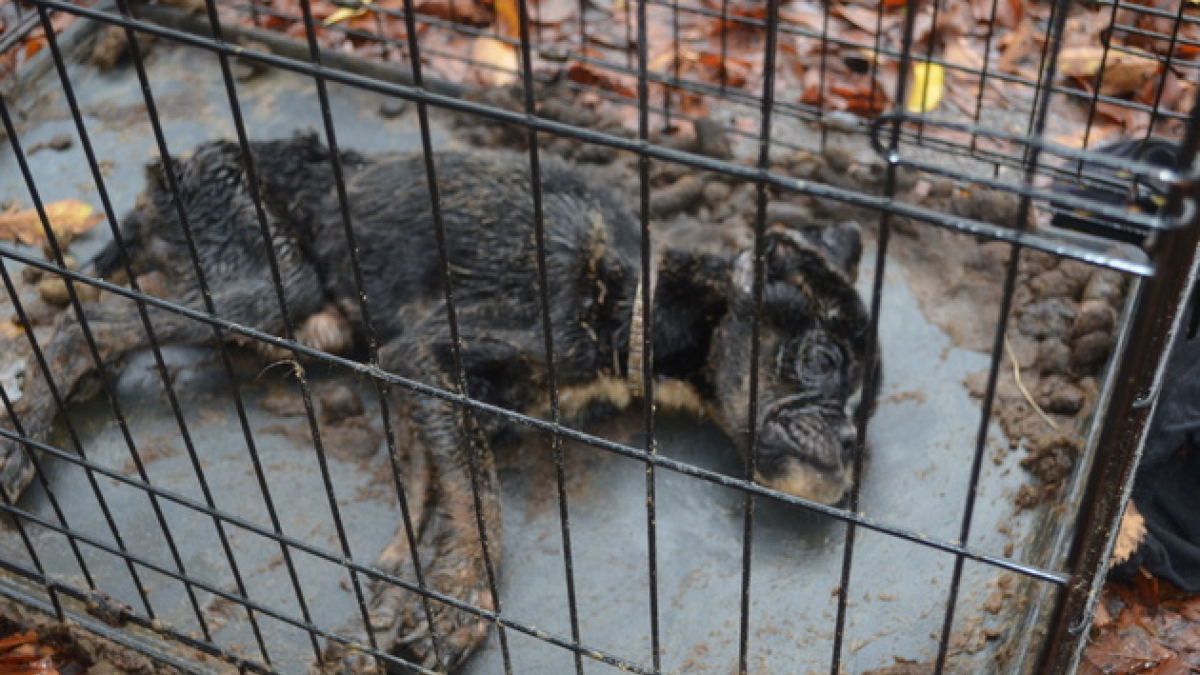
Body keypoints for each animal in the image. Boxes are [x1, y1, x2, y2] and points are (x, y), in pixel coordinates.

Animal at [0, 133, 883, 667]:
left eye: (864, 416)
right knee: (90, 321)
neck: (637, 295)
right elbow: (478, 501)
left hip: (286, 314)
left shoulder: (420, 388)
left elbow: (430, 501)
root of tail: (176, 163)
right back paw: (25, 429)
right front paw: (461, 603)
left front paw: (393, 608)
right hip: (271, 290)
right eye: (821, 358)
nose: (845, 451)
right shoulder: (427, 359)